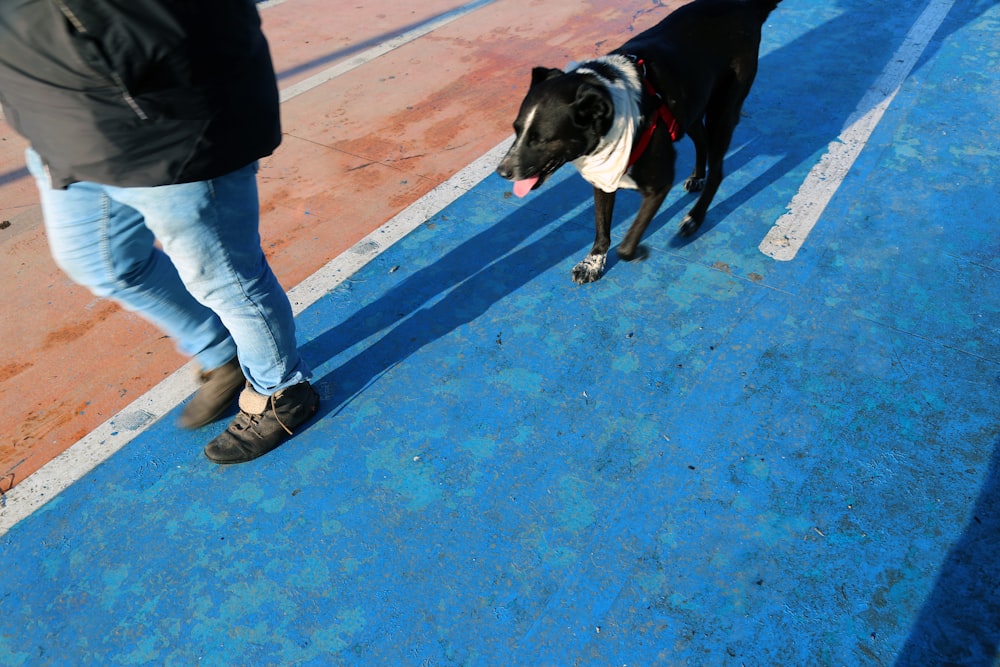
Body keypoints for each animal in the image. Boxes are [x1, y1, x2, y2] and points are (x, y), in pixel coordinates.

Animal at [500, 0, 780, 284]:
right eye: (516, 130)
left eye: (542, 139)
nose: (503, 171)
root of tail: (745, 5)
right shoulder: (603, 175)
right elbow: (602, 227)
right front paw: (593, 262)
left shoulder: (659, 185)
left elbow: (626, 246)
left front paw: (637, 253)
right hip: (689, 108)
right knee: (701, 141)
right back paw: (697, 177)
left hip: (722, 112)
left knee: (718, 171)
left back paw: (695, 217)